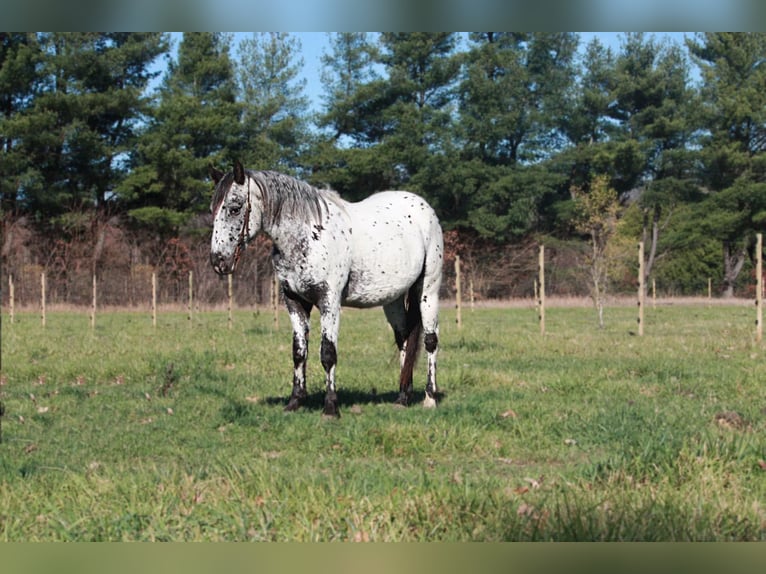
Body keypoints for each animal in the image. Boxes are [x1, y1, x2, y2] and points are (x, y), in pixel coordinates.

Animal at [208, 162, 444, 418]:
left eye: (234, 208)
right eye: (213, 209)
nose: (218, 261)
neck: (308, 236)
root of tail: (423, 206)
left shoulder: (329, 301)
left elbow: (328, 353)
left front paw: (330, 408)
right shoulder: (294, 301)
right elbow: (299, 352)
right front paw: (294, 402)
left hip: (428, 290)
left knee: (430, 340)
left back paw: (430, 398)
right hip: (393, 299)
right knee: (404, 339)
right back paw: (402, 397)